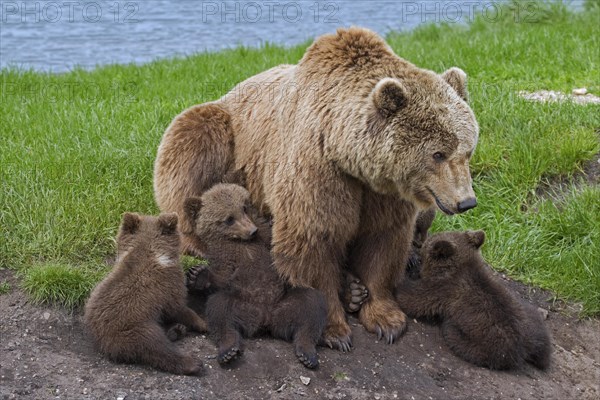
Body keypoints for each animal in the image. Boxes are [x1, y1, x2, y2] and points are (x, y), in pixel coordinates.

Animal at [154, 27, 478, 350]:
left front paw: (386, 318)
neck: (348, 156)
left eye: (468, 150)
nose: (466, 202)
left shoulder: (380, 191)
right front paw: (335, 329)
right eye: (438, 154)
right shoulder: (317, 170)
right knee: (191, 147)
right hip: (223, 131)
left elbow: (382, 240)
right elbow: (314, 239)